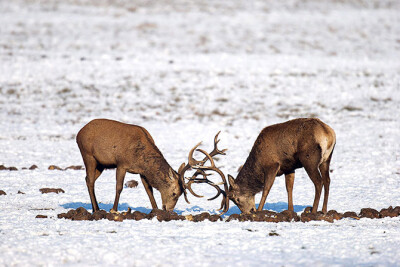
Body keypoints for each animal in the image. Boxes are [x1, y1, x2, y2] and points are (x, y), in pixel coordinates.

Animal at [76, 119, 228, 214]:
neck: (139, 157)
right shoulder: (121, 164)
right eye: (174, 193)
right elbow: (119, 187)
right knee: (90, 180)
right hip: (88, 155)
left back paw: (95, 208)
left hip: (101, 164)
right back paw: (96, 209)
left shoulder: (142, 172)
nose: (169, 210)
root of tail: (79, 132)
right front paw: (114, 210)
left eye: (180, 195)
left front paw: (155, 210)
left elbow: (149, 191)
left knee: (87, 179)